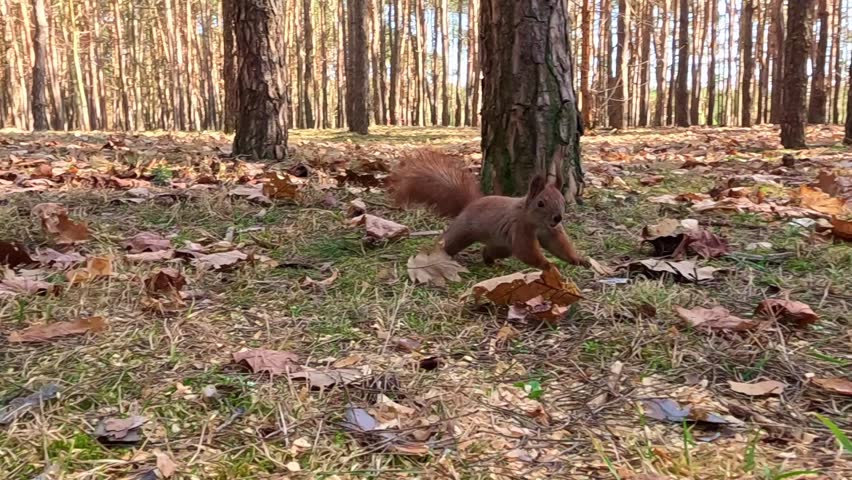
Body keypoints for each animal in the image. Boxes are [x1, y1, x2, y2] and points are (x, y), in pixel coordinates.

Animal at [388, 150, 590, 270]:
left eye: (563, 201)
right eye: (540, 203)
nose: (558, 218)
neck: (535, 221)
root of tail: (470, 205)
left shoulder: (551, 232)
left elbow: (559, 247)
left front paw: (579, 260)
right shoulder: (520, 229)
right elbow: (526, 252)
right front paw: (548, 265)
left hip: (502, 246)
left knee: (488, 251)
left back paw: (490, 262)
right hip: (462, 232)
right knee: (447, 242)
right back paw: (438, 254)